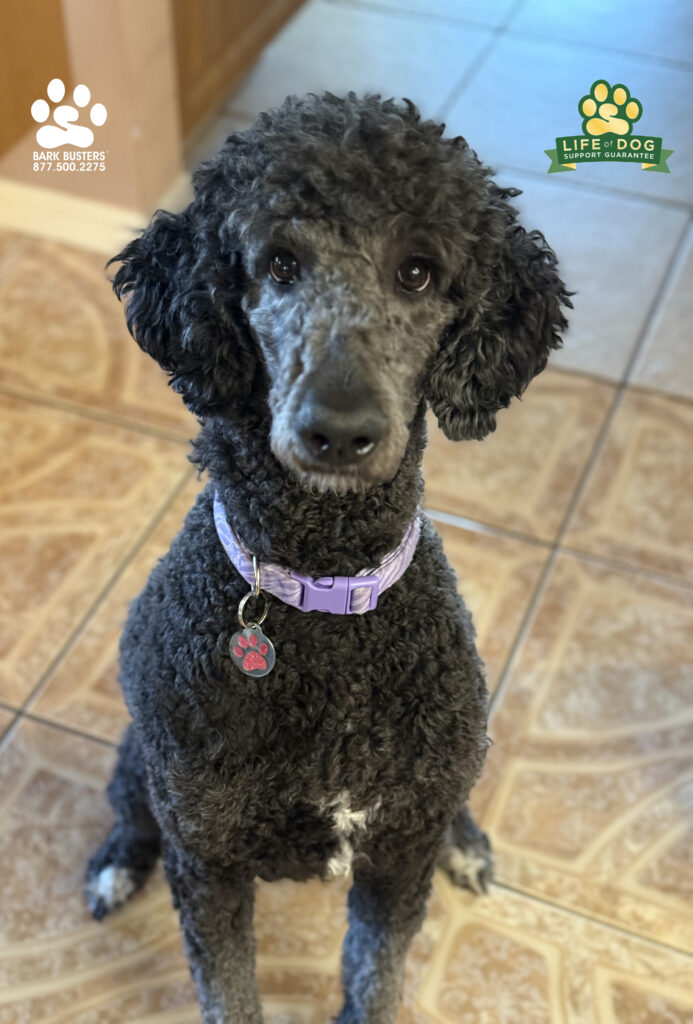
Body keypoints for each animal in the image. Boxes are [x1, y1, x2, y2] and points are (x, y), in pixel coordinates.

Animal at [84, 92, 569, 1019]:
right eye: (278, 263)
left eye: (417, 273)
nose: (339, 430)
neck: (325, 595)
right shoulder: (208, 859)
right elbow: (227, 985)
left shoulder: (396, 852)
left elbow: (377, 969)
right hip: (147, 762)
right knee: (129, 803)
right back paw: (115, 865)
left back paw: (465, 841)